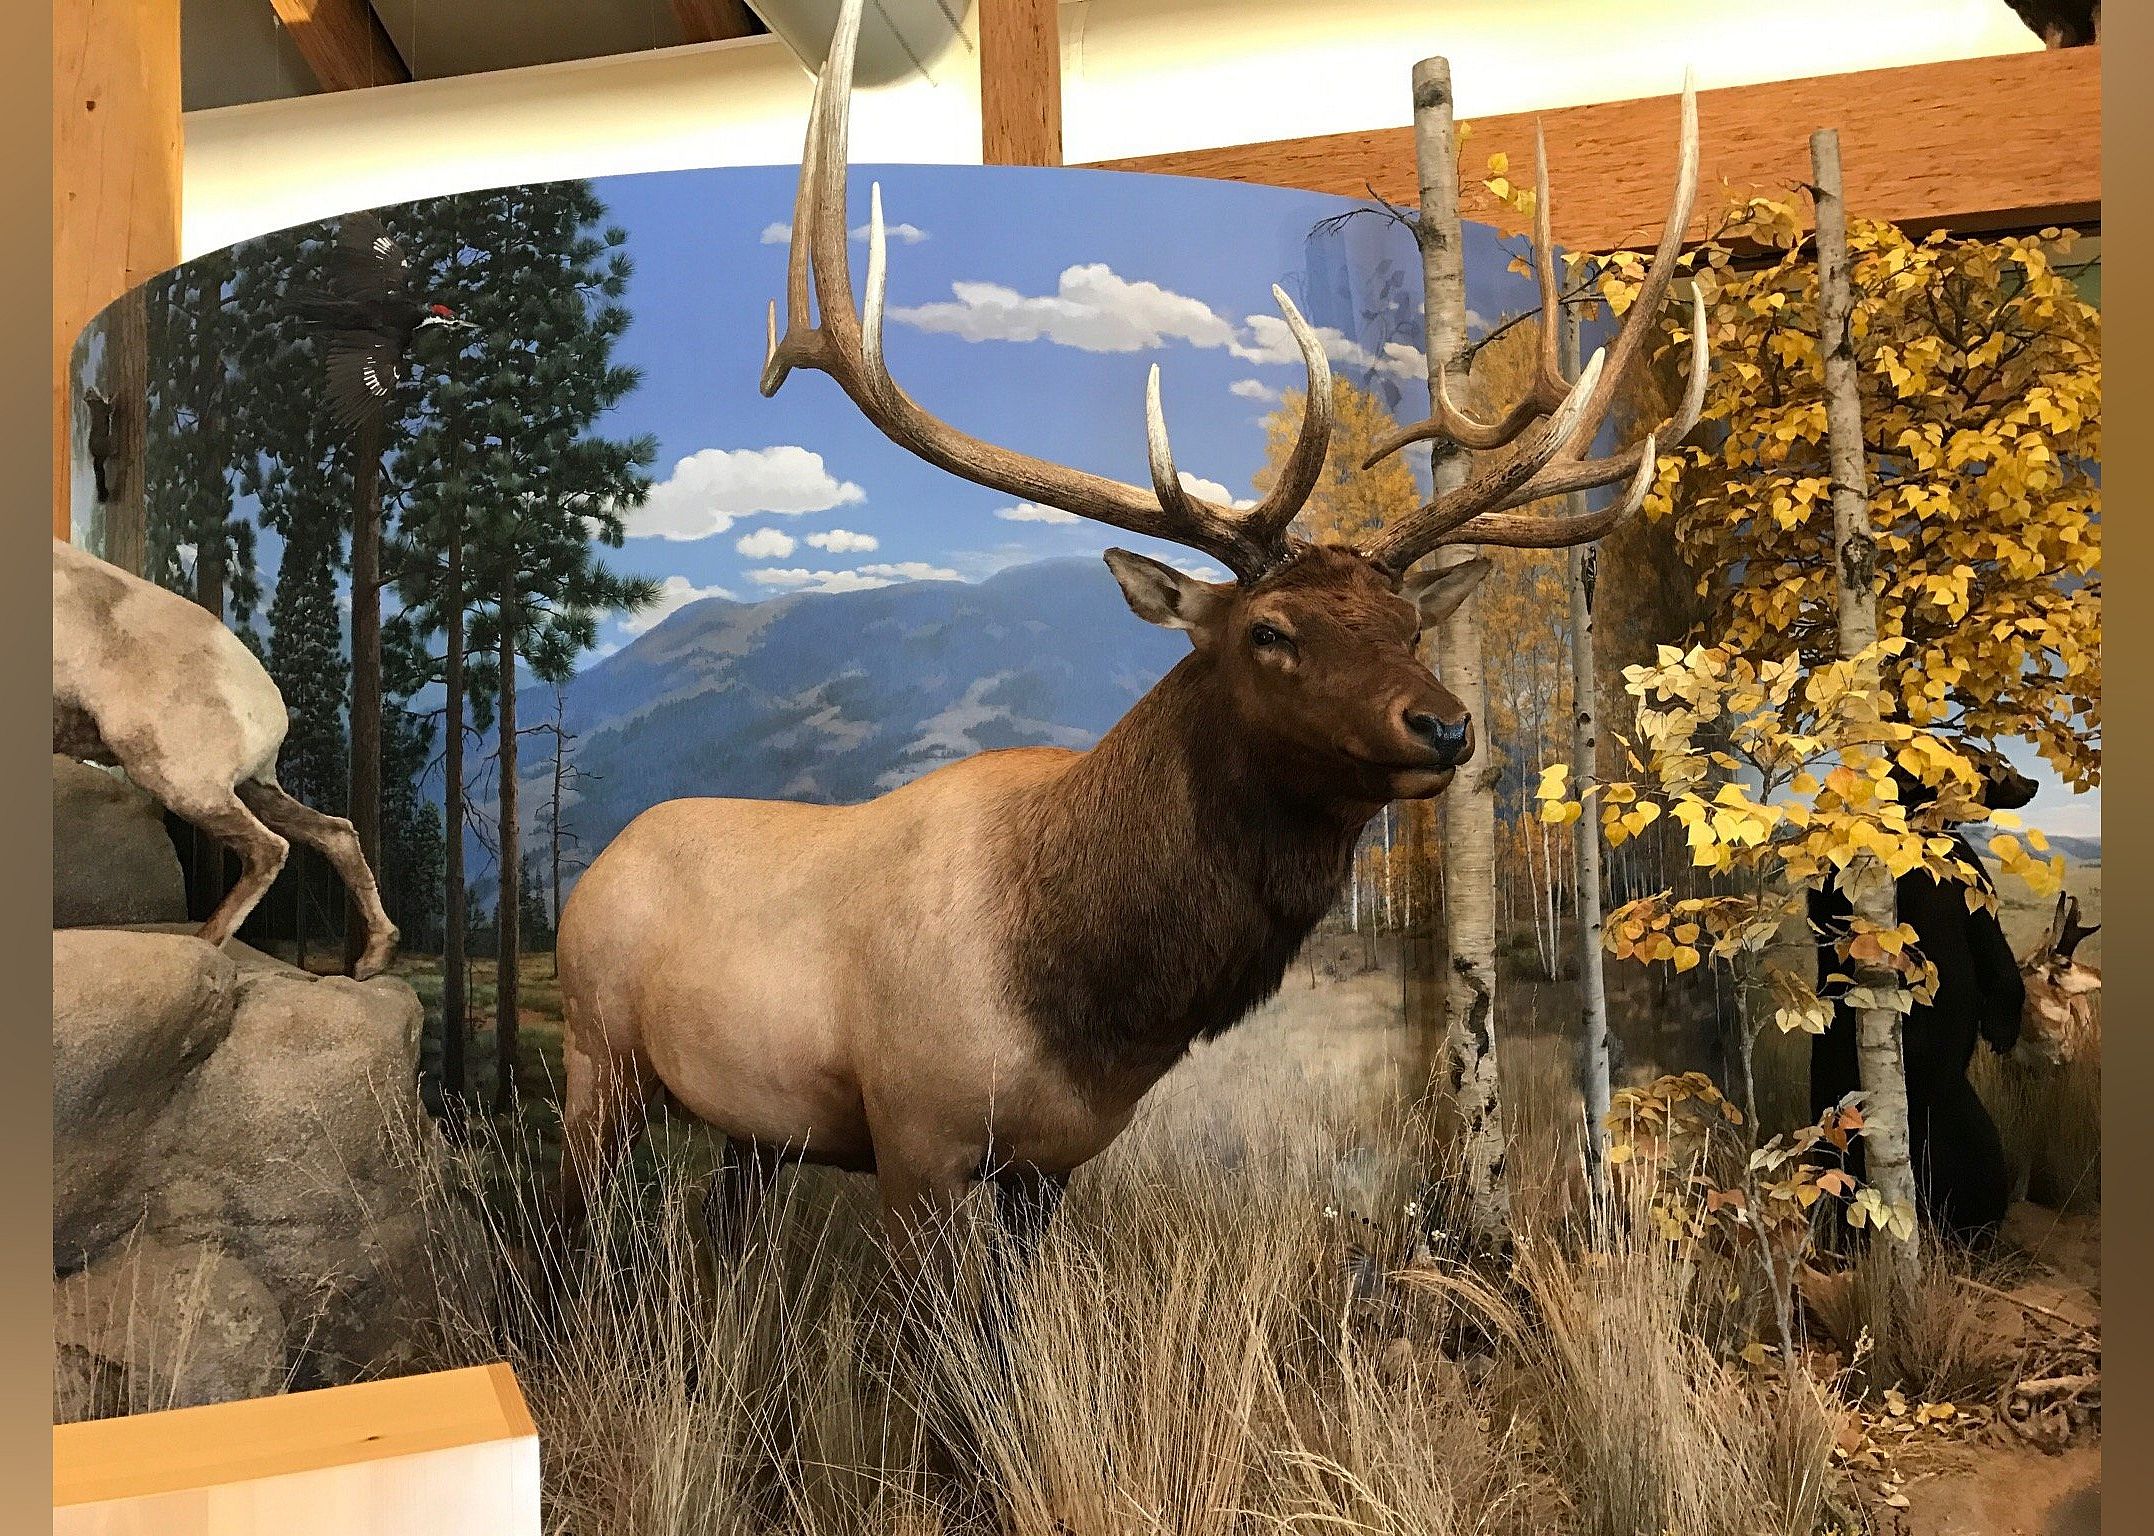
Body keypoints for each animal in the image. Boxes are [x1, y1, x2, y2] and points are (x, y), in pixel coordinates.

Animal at [53, 538, 401, 979]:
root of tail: (272, 707)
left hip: (184, 784)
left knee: (270, 848)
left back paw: (203, 943)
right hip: (252, 789)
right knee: (335, 832)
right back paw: (373, 959)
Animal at [555, 0, 1706, 1263]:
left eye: (1408, 621)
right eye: (1269, 631)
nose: (1446, 726)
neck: (1090, 1001)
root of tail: (594, 863)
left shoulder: (1051, 1161)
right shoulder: (913, 1134)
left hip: (748, 1127)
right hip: (595, 1059)